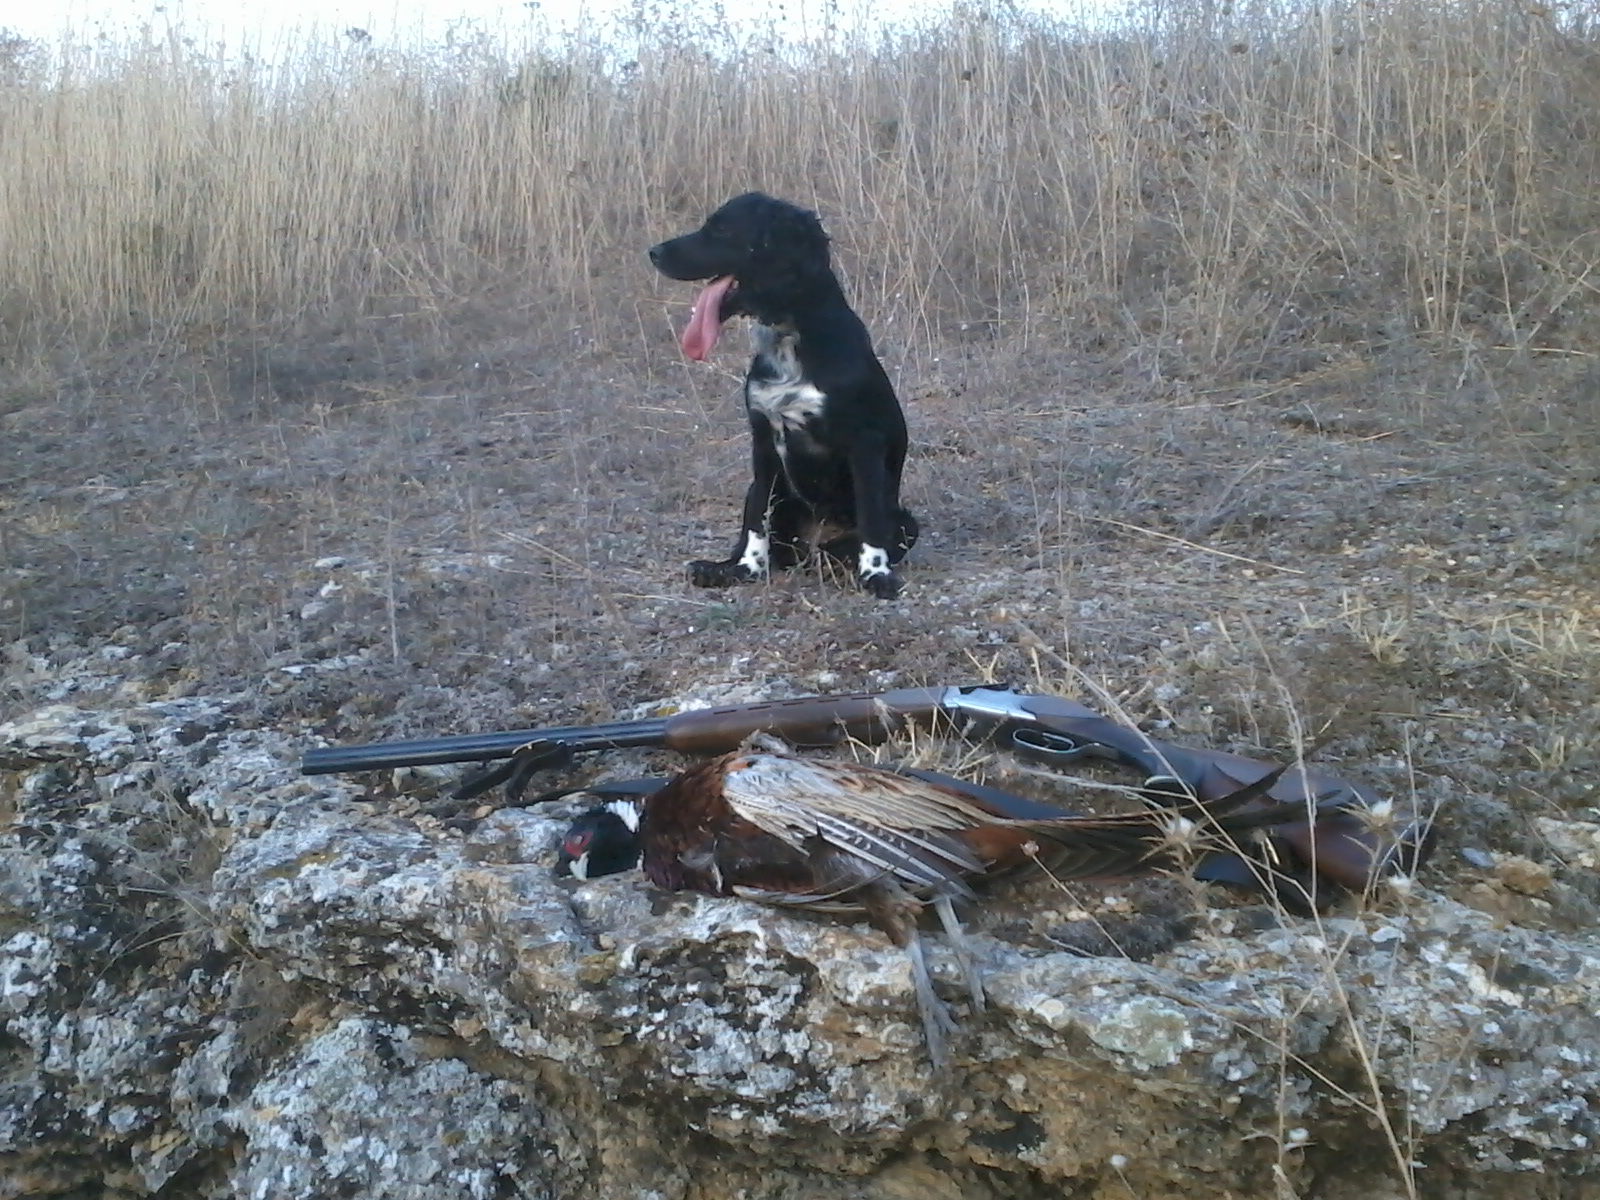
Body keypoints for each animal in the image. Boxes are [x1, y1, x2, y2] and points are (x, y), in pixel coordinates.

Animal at [649, 192, 917, 600]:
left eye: (722, 230)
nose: (654, 252)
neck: (791, 339)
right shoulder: (762, 439)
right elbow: (758, 520)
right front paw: (746, 569)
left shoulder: (865, 443)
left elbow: (871, 519)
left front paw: (876, 573)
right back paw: (717, 568)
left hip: (905, 520)